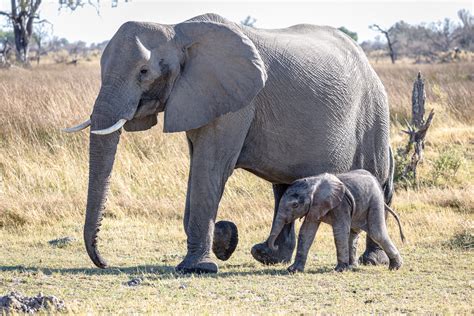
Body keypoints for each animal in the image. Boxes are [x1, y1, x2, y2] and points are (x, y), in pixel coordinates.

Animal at [65, 13, 392, 272]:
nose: (104, 262)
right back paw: (268, 255)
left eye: (144, 72)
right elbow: (198, 170)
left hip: (374, 114)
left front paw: (199, 266)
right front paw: (224, 240)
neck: (177, 30)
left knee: (376, 180)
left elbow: (210, 168)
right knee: (286, 185)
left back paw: (372, 261)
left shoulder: (235, 103)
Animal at [268, 169, 406, 272]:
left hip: (374, 201)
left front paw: (339, 270)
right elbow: (306, 232)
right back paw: (352, 267)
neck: (313, 183)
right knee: (353, 234)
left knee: (376, 232)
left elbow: (340, 231)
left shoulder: (341, 204)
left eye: (295, 205)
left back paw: (395, 267)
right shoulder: (315, 206)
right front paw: (292, 270)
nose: (275, 246)